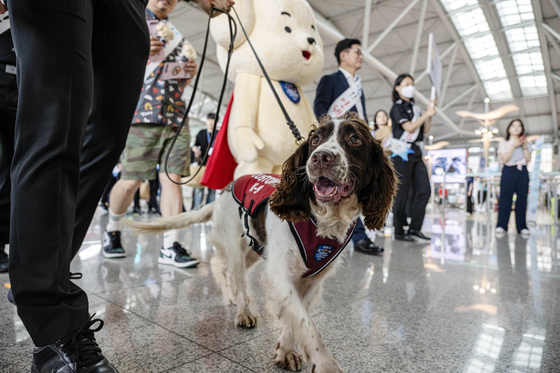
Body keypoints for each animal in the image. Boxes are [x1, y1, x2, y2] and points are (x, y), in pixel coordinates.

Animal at [126, 113, 398, 372]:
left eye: (354, 140)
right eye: (315, 140)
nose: (321, 158)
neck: (321, 219)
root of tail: (222, 193)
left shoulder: (313, 279)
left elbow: (297, 317)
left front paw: (285, 351)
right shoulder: (280, 272)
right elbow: (306, 325)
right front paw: (325, 364)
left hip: (255, 249)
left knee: (227, 269)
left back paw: (233, 297)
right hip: (236, 245)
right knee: (233, 272)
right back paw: (244, 311)